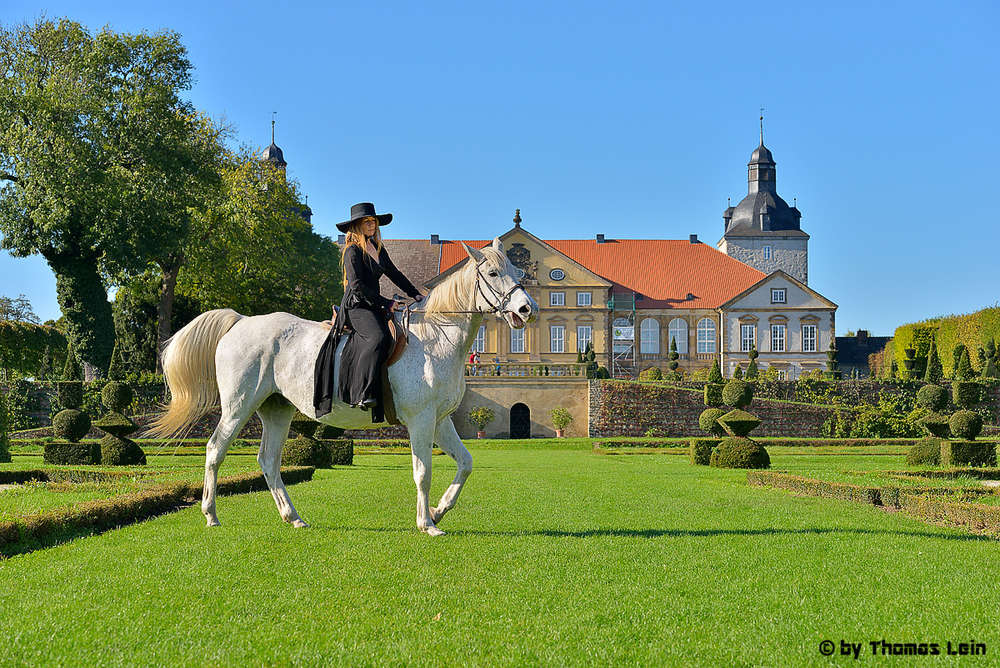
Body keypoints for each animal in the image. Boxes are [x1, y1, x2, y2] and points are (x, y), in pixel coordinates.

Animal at [148, 239, 538, 535]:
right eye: (493, 273)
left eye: (517, 272)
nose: (526, 308)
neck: (435, 338)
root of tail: (242, 321)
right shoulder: (422, 421)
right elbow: (423, 472)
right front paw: (427, 523)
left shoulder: (440, 422)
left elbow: (466, 464)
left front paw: (439, 510)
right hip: (238, 406)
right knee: (215, 450)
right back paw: (211, 514)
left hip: (277, 410)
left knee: (269, 460)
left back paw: (293, 517)